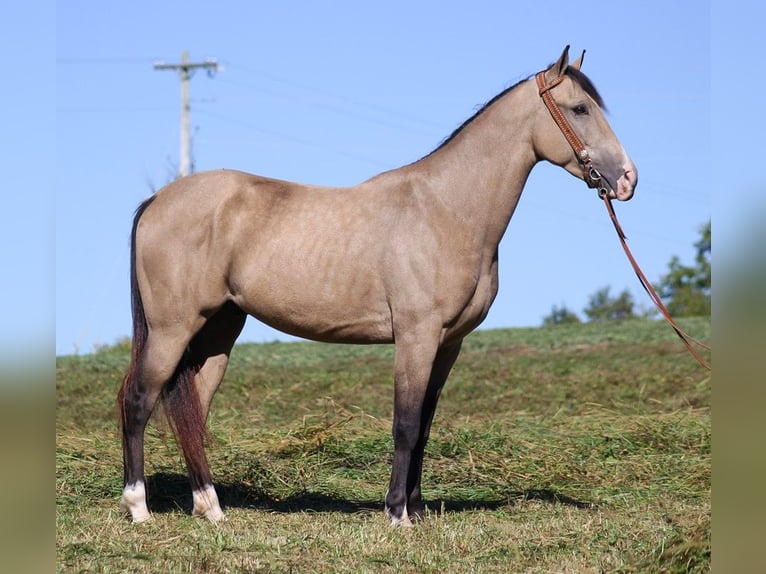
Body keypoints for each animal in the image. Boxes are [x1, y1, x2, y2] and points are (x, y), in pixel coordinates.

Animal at [117, 47, 640, 528]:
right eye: (580, 108)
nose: (628, 179)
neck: (447, 209)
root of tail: (156, 199)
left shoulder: (448, 344)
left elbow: (424, 426)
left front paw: (417, 511)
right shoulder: (416, 336)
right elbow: (405, 424)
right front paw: (397, 514)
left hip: (218, 332)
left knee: (193, 411)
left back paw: (210, 508)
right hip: (172, 330)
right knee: (138, 400)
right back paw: (139, 508)